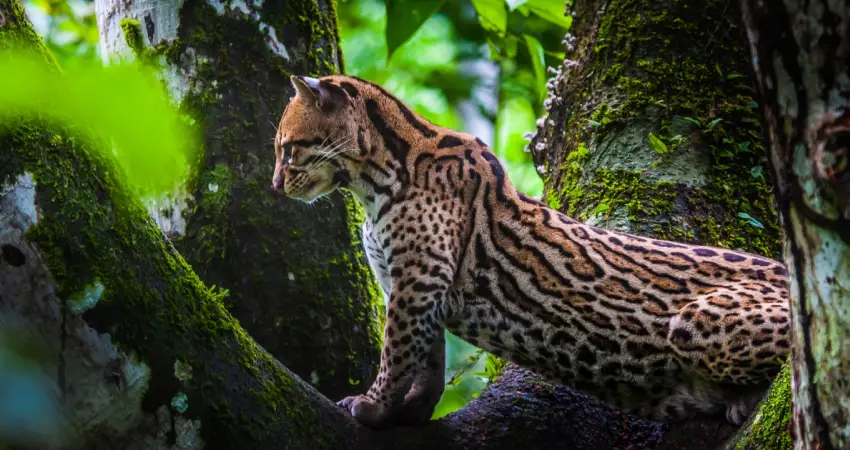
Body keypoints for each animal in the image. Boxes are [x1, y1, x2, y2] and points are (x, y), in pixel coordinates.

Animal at [271, 74, 791, 429]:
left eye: (287, 147)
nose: (274, 184)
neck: (370, 183)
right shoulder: (409, 282)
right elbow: (428, 359)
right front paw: (412, 410)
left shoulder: (417, 279)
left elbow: (398, 351)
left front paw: (374, 405)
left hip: (697, 319)